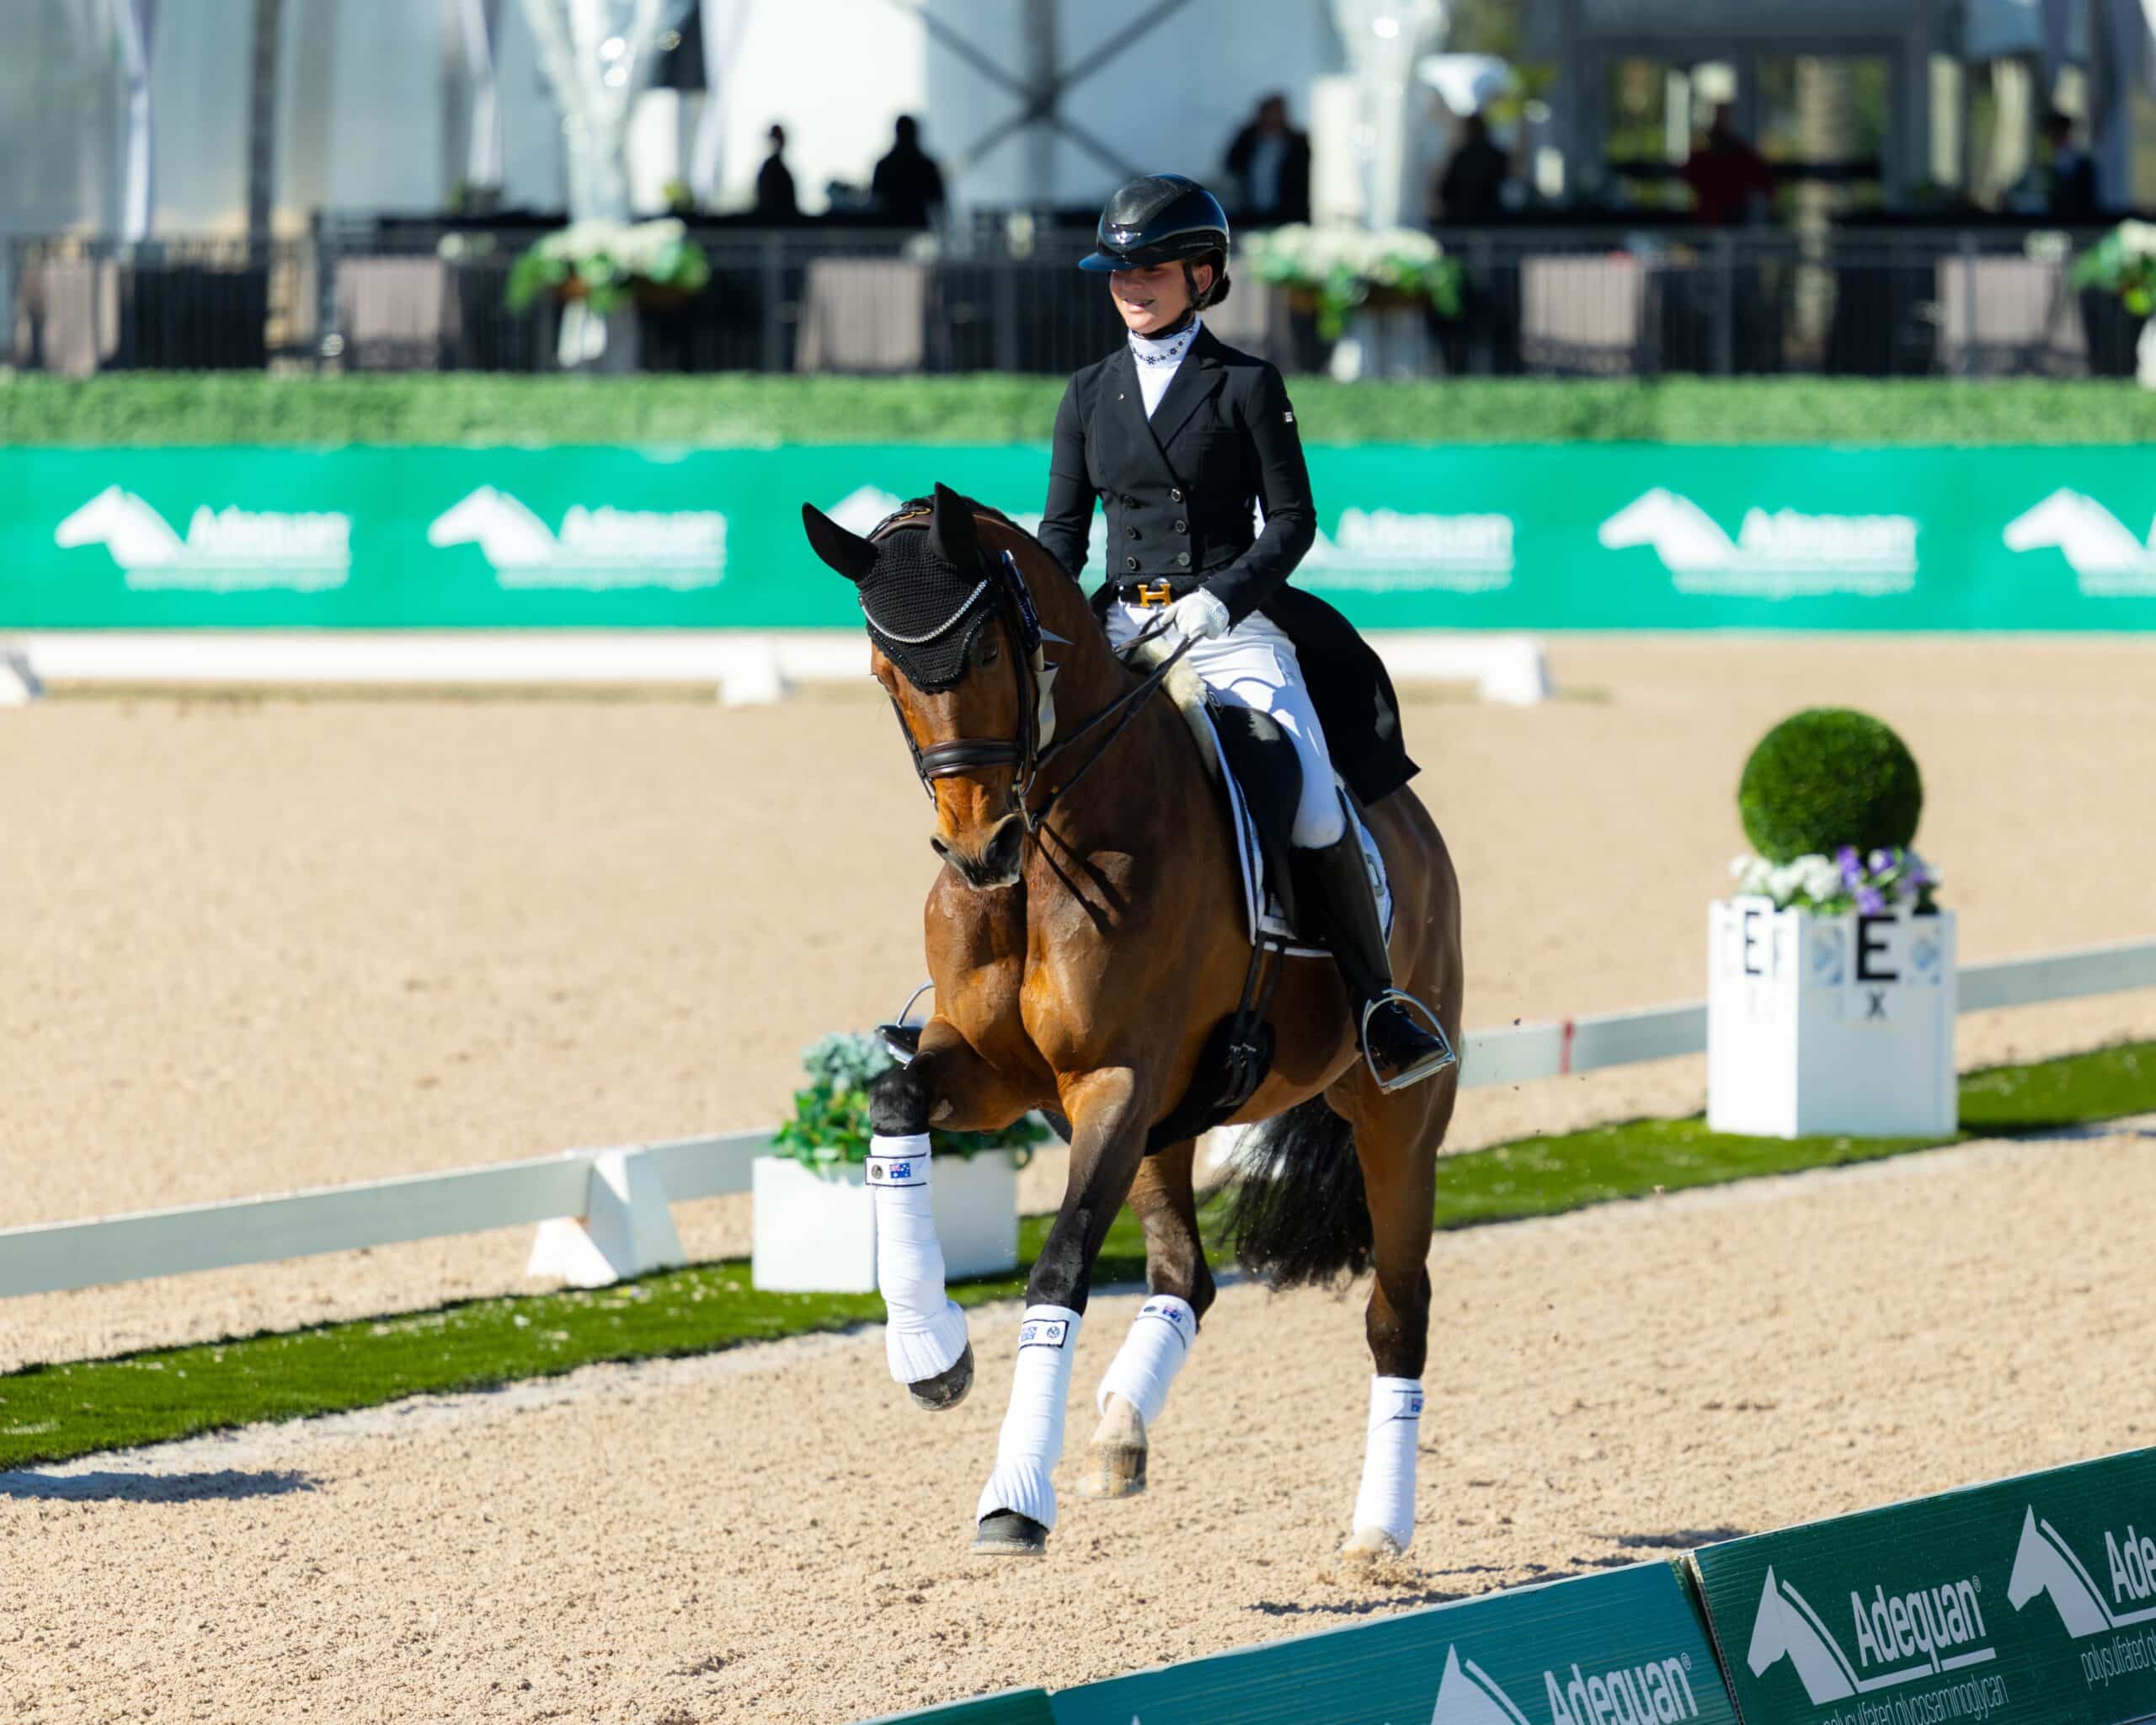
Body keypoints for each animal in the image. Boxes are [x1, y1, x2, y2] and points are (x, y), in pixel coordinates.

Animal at [800, 483, 1464, 1559]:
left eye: (987, 657)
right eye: (883, 672)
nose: (979, 849)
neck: (1051, 841)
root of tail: (1408, 824)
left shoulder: (1112, 1079)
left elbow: (1060, 1267)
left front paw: (1012, 1497)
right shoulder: (999, 1071)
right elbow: (894, 1100)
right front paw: (929, 1351)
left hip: (1396, 1114)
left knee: (1396, 1312)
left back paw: (1379, 1530)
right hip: (1165, 1123)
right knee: (1186, 1275)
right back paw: (1118, 1430)